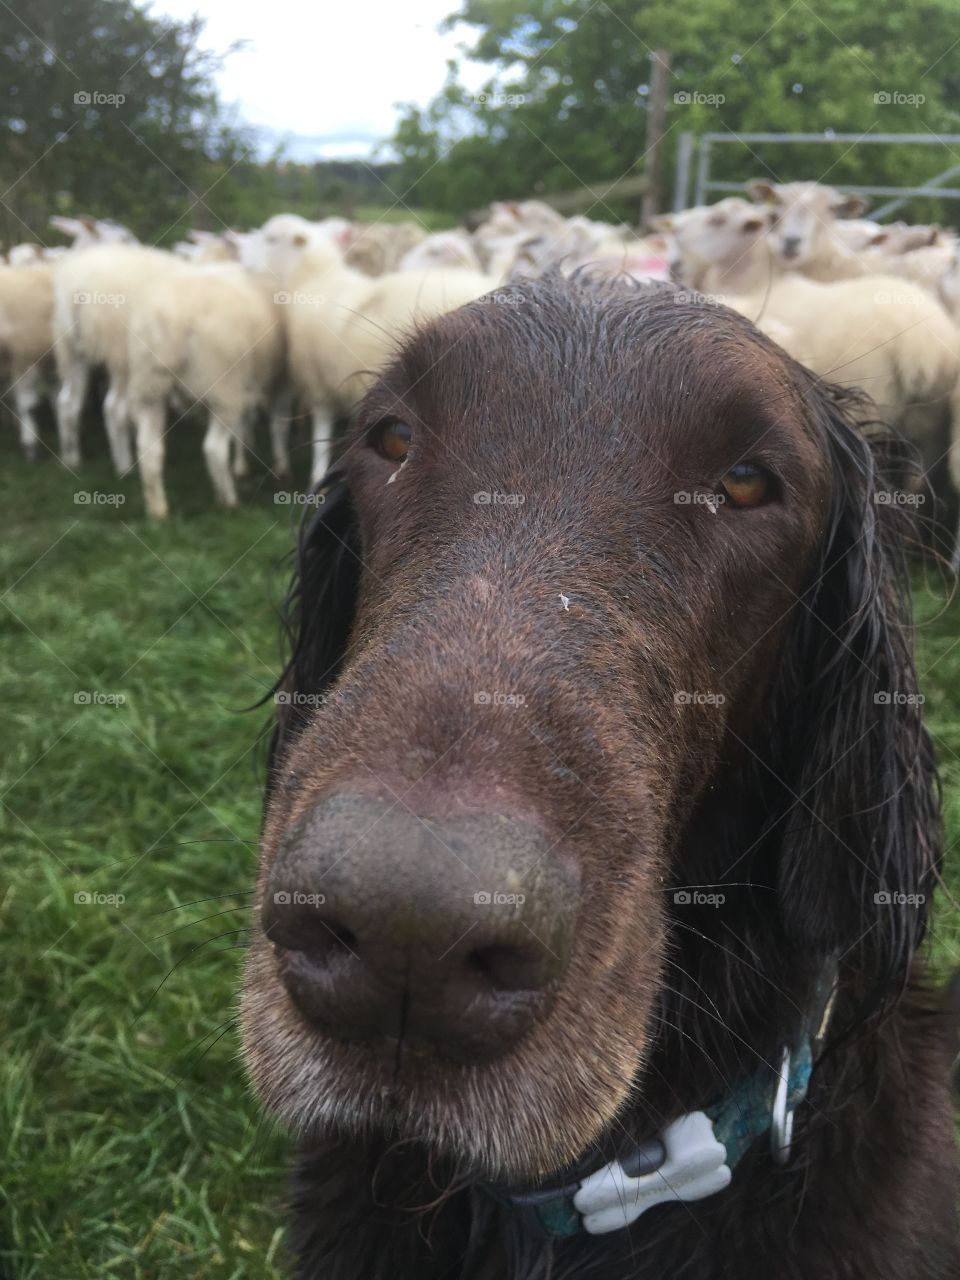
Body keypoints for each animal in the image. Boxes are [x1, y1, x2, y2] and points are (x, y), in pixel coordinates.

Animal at [243, 217, 495, 482]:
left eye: (271, 238)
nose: (243, 258)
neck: (313, 278)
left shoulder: (319, 384)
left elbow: (320, 433)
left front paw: (317, 474)